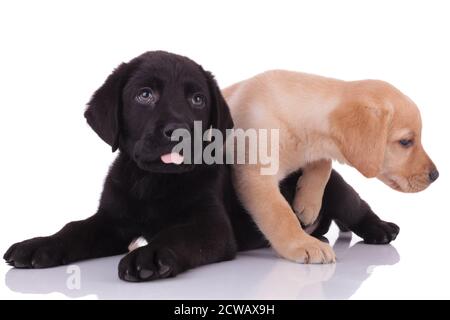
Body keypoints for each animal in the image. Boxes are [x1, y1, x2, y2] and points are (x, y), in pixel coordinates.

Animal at [2, 51, 398, 282]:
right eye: (144, 95)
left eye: (197, 99)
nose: (178, 131)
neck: (152, 182)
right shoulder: (111, 222)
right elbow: (74, 229)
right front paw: (38, 246)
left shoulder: (211, 227)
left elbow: (178, 235)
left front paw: (150, 255)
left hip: (336, 190)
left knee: (357, 208)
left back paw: (381, 228)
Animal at [223, 71, 438, 264]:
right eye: (405, 142)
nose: (435, 175)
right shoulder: (255, 176)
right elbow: (280, 214)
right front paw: (303, 243)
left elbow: (324, 164)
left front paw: (308, 204)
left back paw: (381, 227)